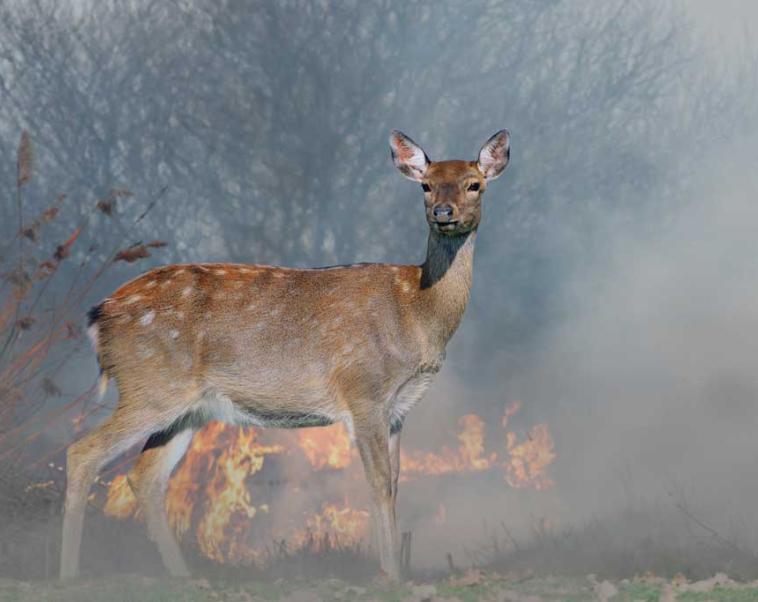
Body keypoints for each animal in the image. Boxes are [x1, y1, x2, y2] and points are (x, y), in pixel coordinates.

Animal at [59, 129, 510, 580]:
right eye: (425, 185)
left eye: (474, 184)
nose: (443, 212)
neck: (418, 312)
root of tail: (100, 317)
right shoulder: (363, 391)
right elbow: (379, 485)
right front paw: (391, 575)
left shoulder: (398, 409)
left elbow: (395, 484)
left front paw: (395, 568)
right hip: (151, 385)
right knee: (83, 452)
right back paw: (69, 572)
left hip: (188, 407)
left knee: (146, 475)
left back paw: (183, 575)